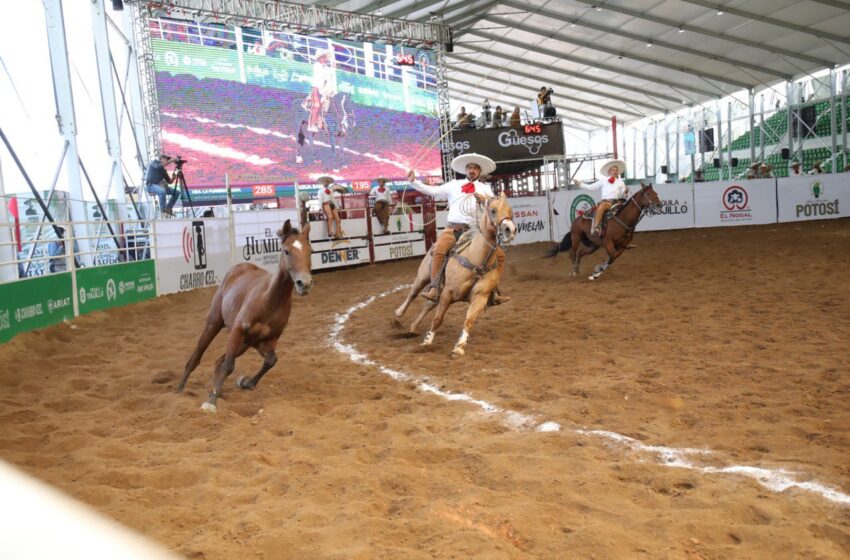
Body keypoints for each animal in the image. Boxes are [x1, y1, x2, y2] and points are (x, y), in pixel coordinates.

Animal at [149, 18, 440, 188]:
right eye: (348, 105)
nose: (354, 120)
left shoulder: (341, 134)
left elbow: (341, 146)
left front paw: (341, 161)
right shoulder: (330, 130)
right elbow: (332, 146)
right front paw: (333, 163)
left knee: (308, 139)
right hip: (296, 126)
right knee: (298, 140)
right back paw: (302, 156)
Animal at [176, 221, 312, 414]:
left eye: (310, 251)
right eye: (287, 251)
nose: (304, 283)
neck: (270, 300)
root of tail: (237, 268)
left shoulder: (268, 340)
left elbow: (271, 361)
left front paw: (245, 383)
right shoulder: (238, 330)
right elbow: (229, 366)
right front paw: (211, 402)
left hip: (244, 344)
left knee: (219, 361)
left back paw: (218, 390)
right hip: (214, 324)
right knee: (197, 357)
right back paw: (180, 389)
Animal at [392, 192, 516, 356]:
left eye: (510, 211)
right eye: (493, 210)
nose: (510, 230)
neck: (477, 259)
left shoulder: (480, 297)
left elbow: (469, 321)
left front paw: (460, 347)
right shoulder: (448, 293)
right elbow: (438, 319)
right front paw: (427, 341)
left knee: (429, 303)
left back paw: (413, 327)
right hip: (423, 276)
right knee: (413, 293)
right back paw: (398, 314)